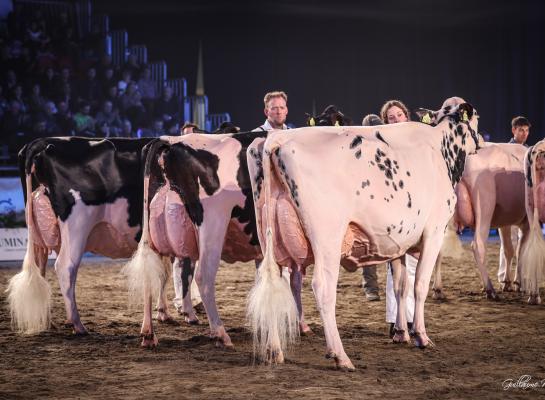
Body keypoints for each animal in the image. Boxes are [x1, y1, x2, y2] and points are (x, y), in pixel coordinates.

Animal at [246, 98, 480, 370]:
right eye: (477, 118)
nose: (481, 142)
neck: (441, 148)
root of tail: (277, 139)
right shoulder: (434, 231)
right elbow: (420, 285)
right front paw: (421, 336)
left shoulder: (398, 242)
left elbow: (400, 286)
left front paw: (401, 333)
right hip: (327, 236)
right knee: (323, 287)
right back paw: (340, 355)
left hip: (269, 236)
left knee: (273, 281)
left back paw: (274, 351)